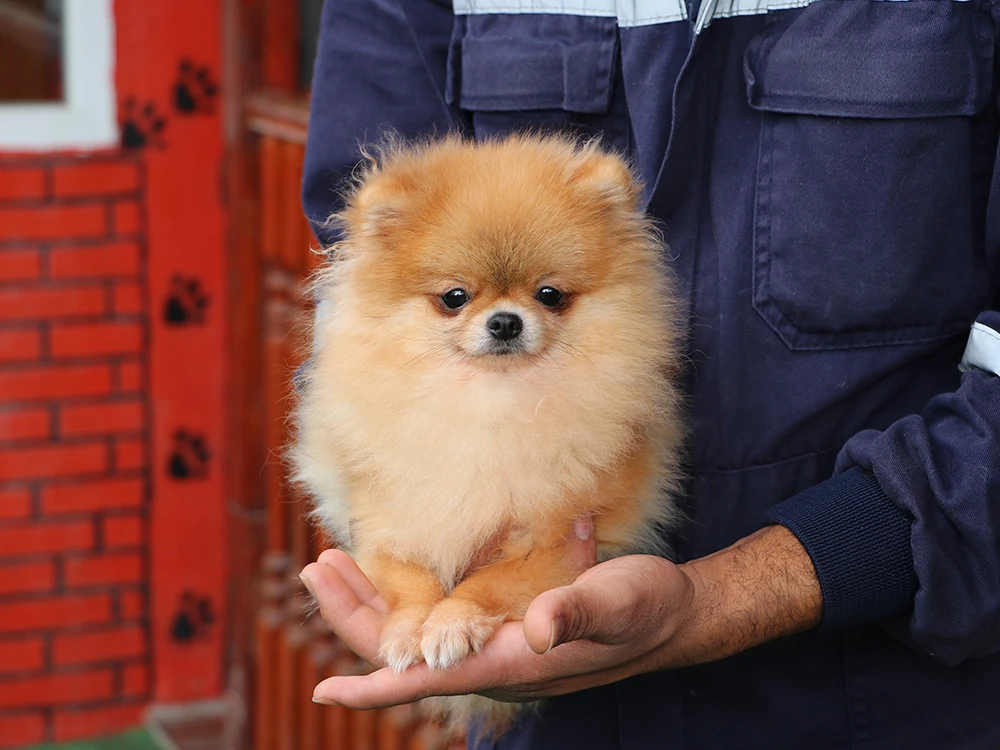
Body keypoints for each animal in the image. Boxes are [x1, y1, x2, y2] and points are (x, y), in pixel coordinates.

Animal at [292, 134, 684, 736]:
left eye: (549, 294)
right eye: (454, 297)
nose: (504, 321)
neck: (489, 403)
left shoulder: (556, 543)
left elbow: (488, 584)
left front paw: (452, 622)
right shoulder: (392, 520)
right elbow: (410, 577)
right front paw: (409, 627)